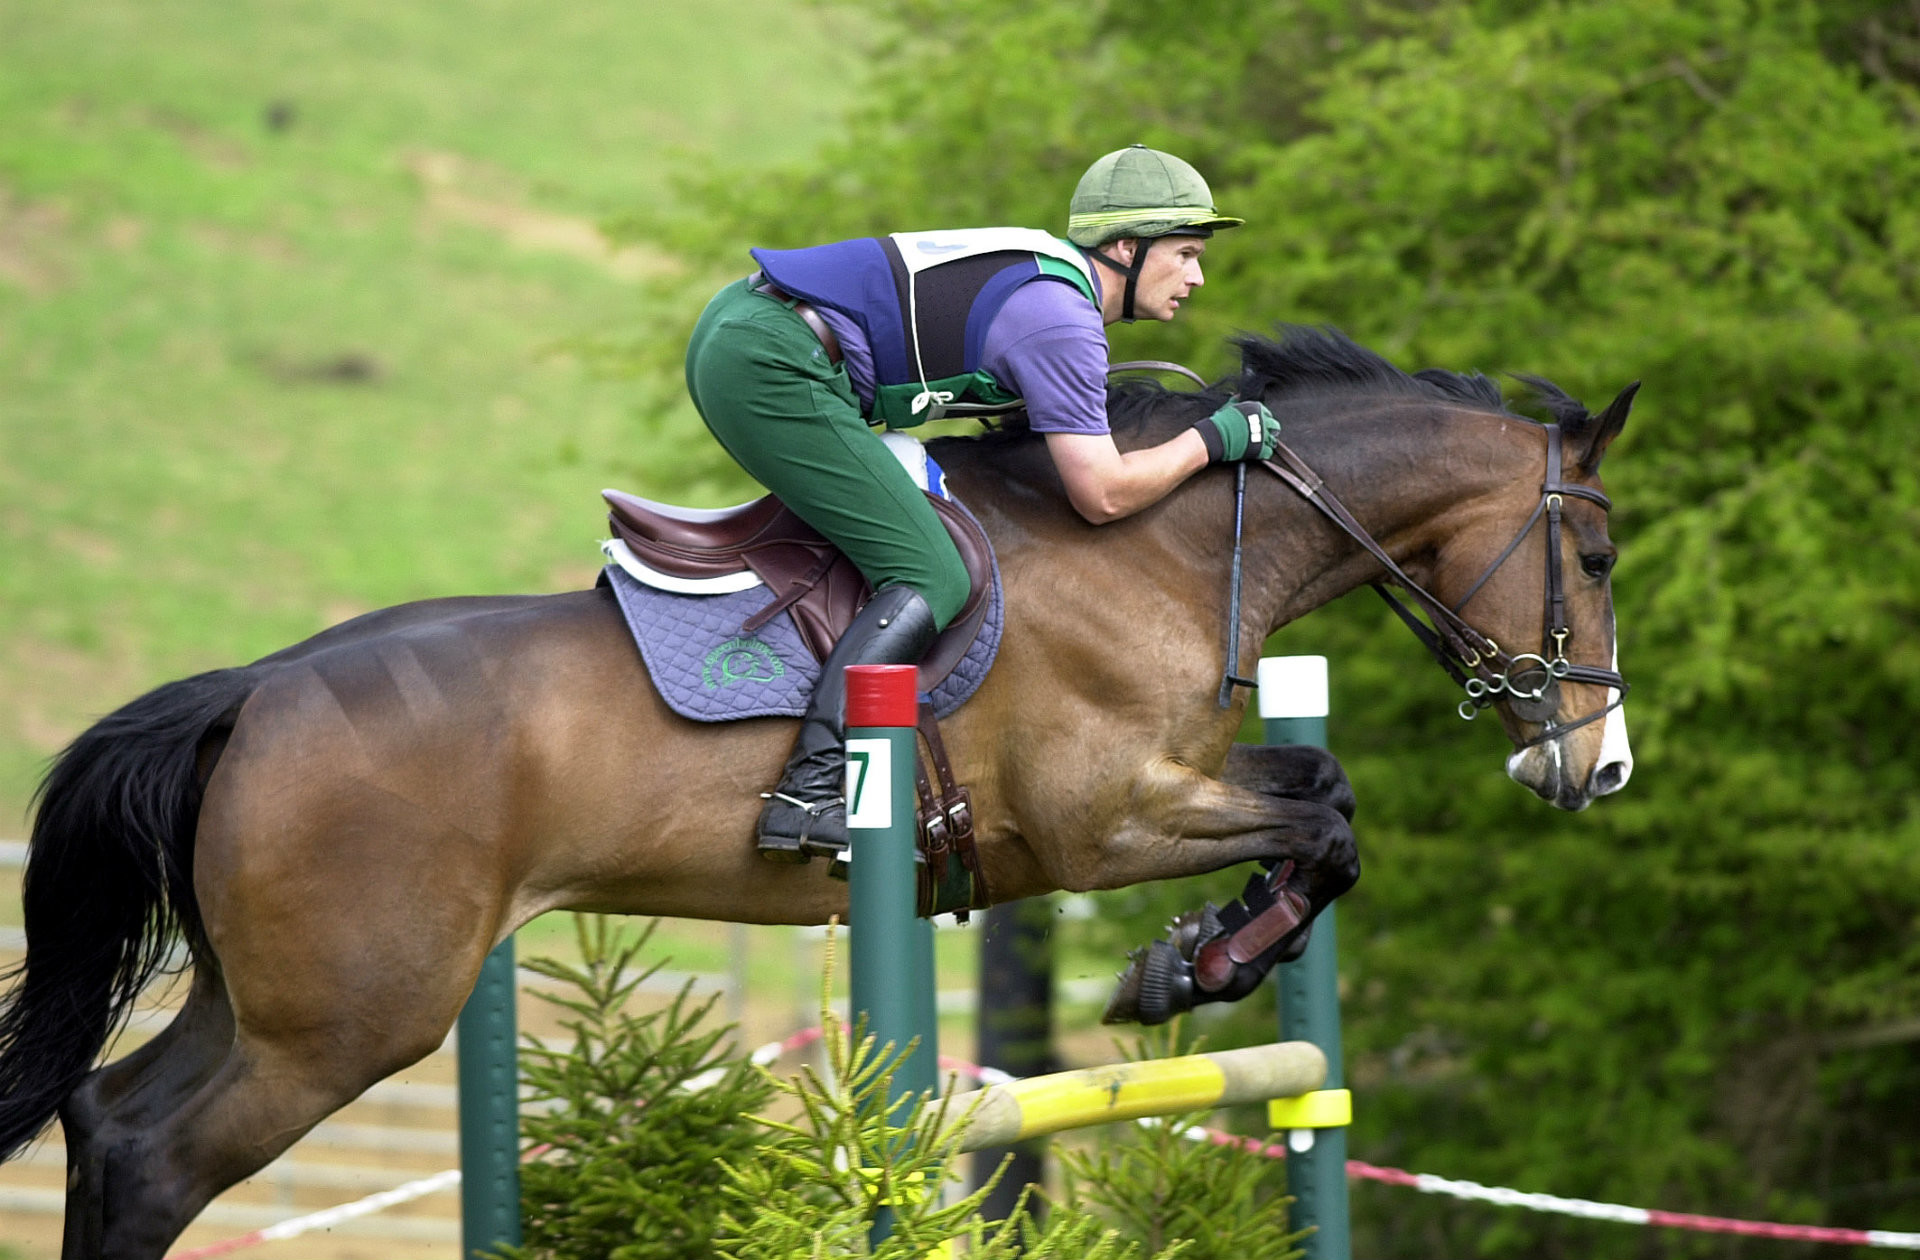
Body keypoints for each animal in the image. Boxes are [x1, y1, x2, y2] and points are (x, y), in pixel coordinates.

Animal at [0, 326, 1635, 1260]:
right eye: (1599, 556)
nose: (1596, 764)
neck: (1162, 543)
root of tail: (251, 692)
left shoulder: (1168, 789)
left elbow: (1323, 794)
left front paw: (1187, 965)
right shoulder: (1106, 821)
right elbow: (1320, 825)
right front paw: (1179, 971)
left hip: (275, 1001)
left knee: (109, 1119)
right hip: (352, 1014)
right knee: (152, 1158)